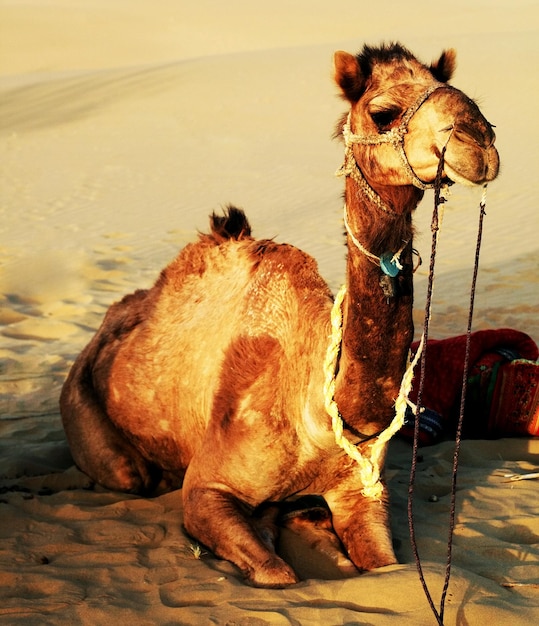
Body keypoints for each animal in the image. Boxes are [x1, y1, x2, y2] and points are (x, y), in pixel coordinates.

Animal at [61, 42, 500, 584]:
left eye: (461, 93)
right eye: (384, 113)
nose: (479, 139)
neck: (317, 408)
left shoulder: (363, 493)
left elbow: (387, 567)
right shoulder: (204, 490)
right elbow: (277, 574)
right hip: (86, 409)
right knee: (132, 474)